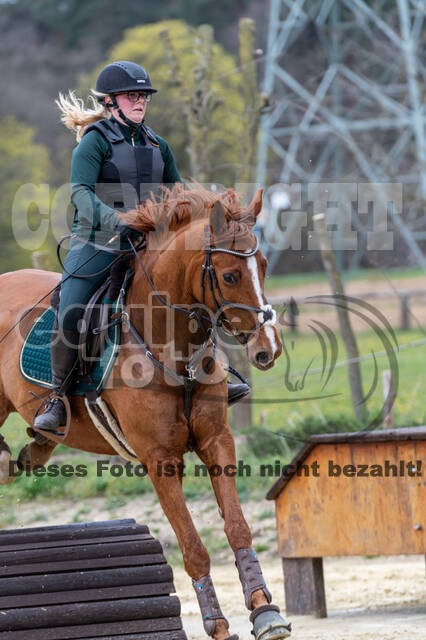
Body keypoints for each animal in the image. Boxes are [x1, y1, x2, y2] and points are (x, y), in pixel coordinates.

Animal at [0, 185, 290, 640]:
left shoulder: (217, 442)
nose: (269, 349)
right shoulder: (160, 460)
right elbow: (193, 547)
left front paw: (265, 611)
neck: (173, 350)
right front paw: (217, 625)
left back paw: (35, 446)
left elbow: (237, 526)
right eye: (230, 276)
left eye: (262, 266)